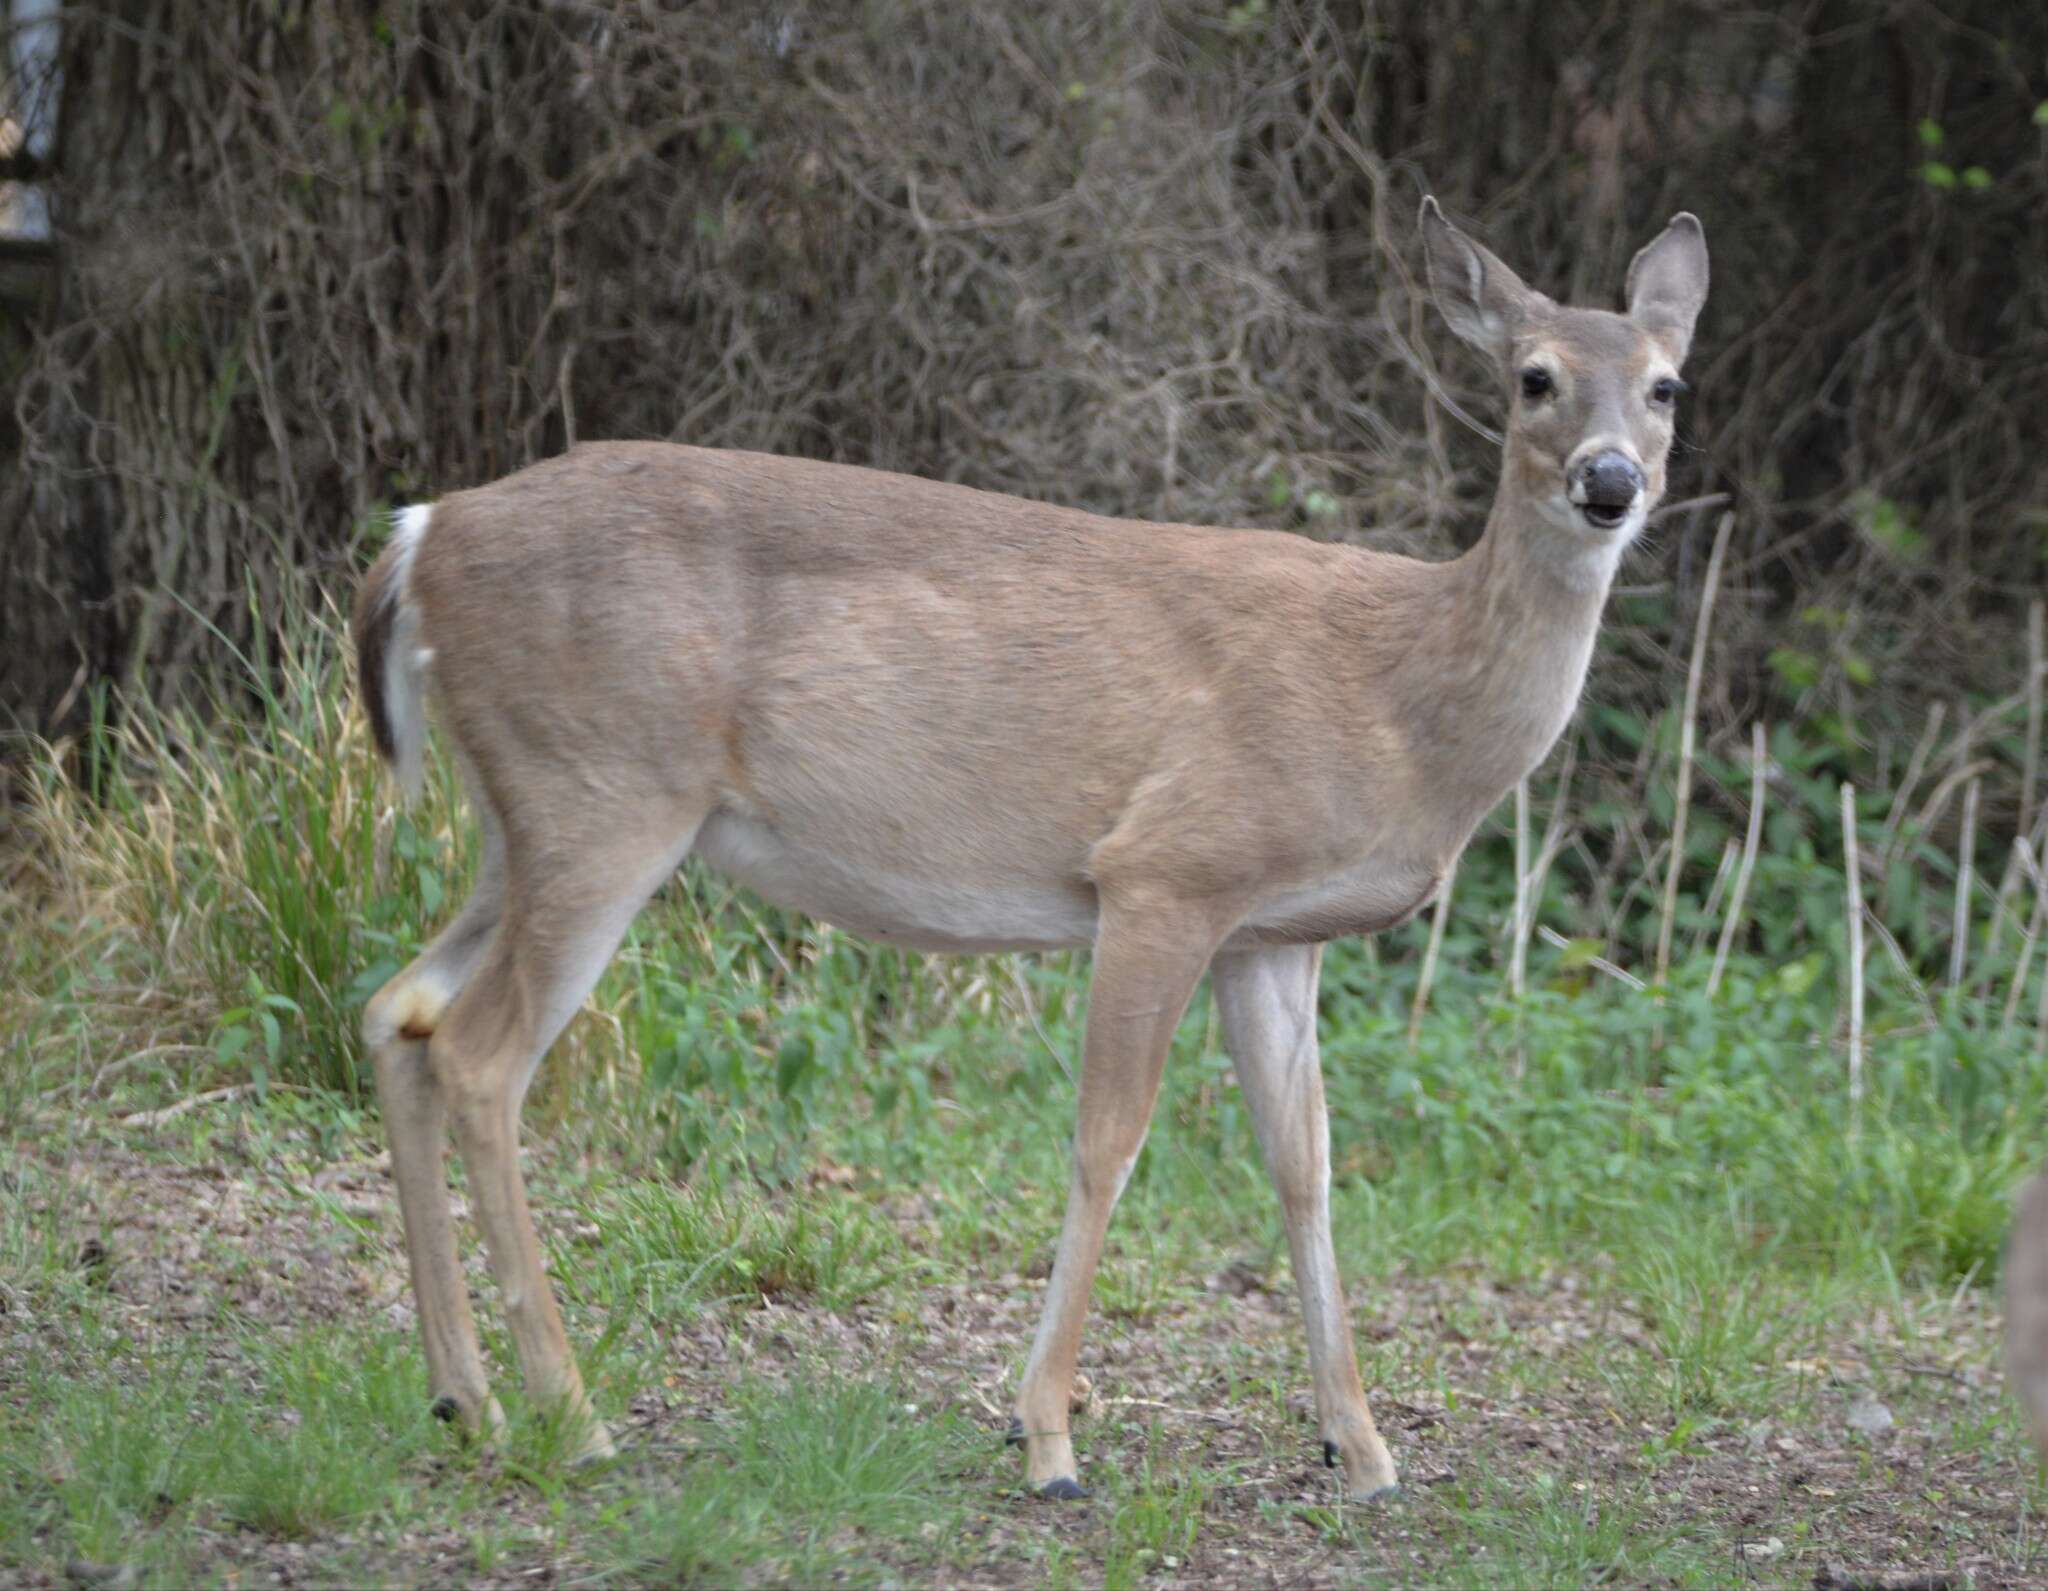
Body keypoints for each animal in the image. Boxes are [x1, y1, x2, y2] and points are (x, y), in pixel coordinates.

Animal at [356, 192, 1712, 1498]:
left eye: (1663, 385)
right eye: (1532, 376)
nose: (1607, 481)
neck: (1397, 696)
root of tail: (421, 535)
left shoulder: (1272, 932)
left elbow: (1305, 1165)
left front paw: (1363, 1452)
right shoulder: (1166, 867)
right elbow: (1107, 1141)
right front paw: (1046, 1439)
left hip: (521, 815)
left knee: (398, 1010)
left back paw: (464, 1401)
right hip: (605, 789)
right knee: (480, 1054)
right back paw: (570, 1417)